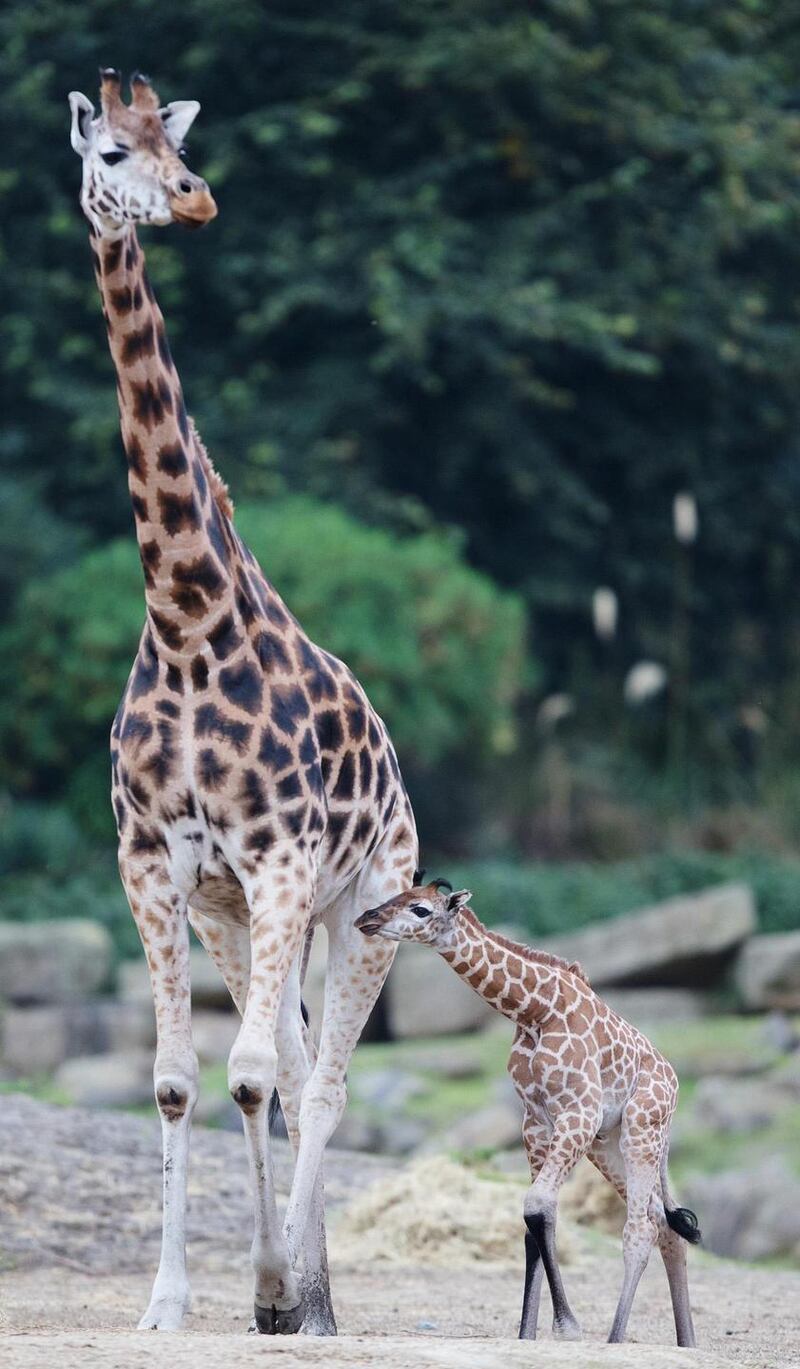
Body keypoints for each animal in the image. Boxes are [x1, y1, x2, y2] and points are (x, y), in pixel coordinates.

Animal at [68, 72, 419, 1336]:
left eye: (176, 142)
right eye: (112, 150)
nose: (193, 195)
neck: (185, 616)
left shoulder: (280, 860)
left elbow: (257, 1076)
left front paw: (272, 1291)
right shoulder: (158, 867)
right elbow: (179, 1081)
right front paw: (171, 1302)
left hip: (366, 901)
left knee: (323, 1081)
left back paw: (308, 1302)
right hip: (243, 916)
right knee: (295, 1064)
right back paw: (303, 1292)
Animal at [356, 876, 701, 1347]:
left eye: (421, 909)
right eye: (398, 897)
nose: (366, 919)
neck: (535, 1010)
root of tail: (674, 1084)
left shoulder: (578, 1111)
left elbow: (537, 1204)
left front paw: (567, 1327)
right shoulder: (536, 1121)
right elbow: (534, 1221)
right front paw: (526, 1335)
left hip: (640, 1129)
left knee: (641, 1227)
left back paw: (616, 1340)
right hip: (607, 1144)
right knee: (664, 1224)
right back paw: (687, 1343)